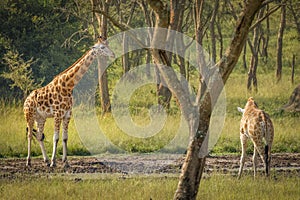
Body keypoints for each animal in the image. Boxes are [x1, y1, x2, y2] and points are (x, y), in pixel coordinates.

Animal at [23, 36, 115, 167]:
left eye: (108, 45)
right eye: (102, 47)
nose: (113, 54)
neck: (68, 86)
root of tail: (26, 99)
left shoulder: (67, 114)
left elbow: (65, 137)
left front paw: (65, 162)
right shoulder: (58, 114)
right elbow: (55, 137)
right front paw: (54, 162)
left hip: (40, 118)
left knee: (39, 136)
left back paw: (45, 160)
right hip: (29, 115)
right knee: (30, 135)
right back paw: (29, 161)